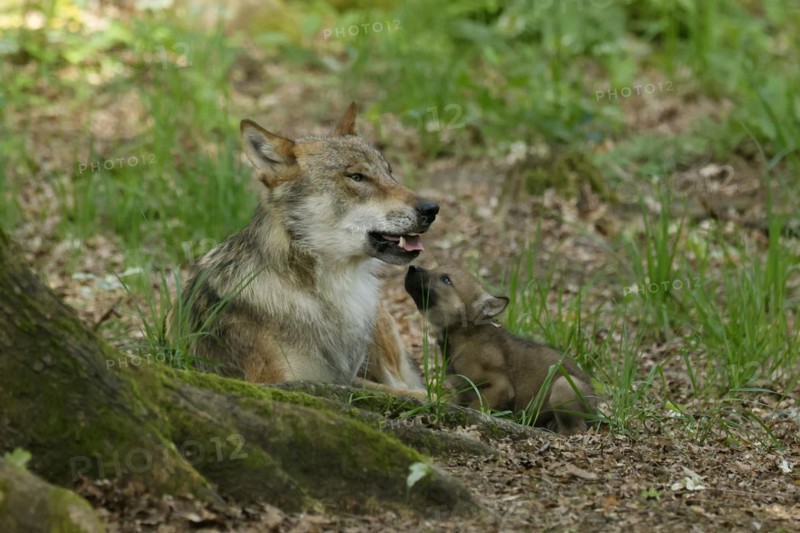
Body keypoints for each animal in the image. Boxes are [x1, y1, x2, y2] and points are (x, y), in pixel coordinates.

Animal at [180, 103, 439, 398]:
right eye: (357, 177)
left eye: (389, 172)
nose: (432, 209)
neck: (325, 291)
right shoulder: (276, 381)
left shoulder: (345, 377)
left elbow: (405, 393)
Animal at [404, 264, 596, 434]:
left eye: (446, 279)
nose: (412, 267)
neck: (461, 336)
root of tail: (595, 405)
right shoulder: (460, 391)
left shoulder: (500, 387)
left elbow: (477, 409)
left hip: (562, 386)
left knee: (575, 429)